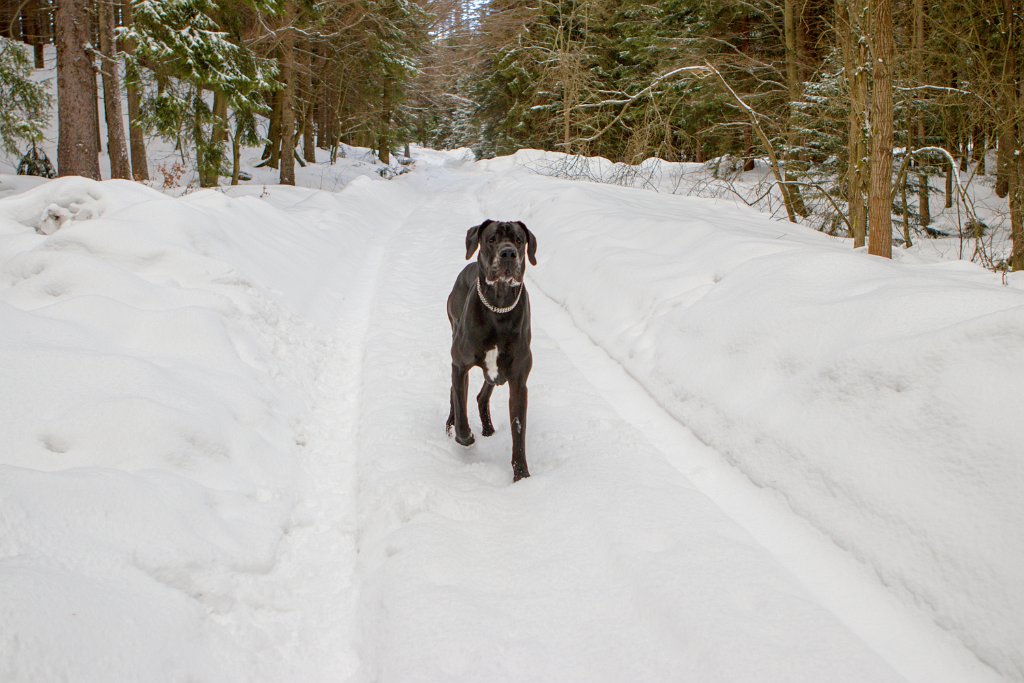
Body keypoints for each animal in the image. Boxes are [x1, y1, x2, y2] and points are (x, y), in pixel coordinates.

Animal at [448, 219, 540, 481]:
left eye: (519, 240)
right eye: (491, 239)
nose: (508, 253)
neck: (498, 308)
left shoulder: (518, 381)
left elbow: (518, 430)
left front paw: (522, 475)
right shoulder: (460, 365)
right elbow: (460, 405)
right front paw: (465, 436)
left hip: (497, 372)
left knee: (482, 395)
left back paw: (487, 427)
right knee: (454, 395)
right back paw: (451, 425)